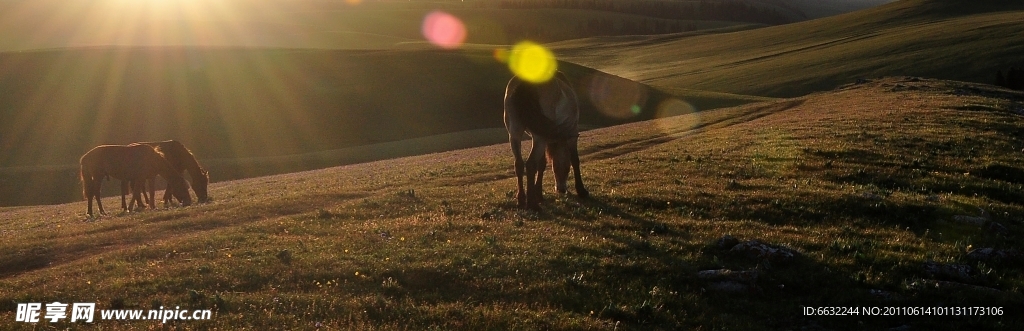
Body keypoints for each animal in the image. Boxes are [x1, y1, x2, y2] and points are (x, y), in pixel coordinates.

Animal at [505, 71, 589, 210]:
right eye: (566, 168)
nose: (561, 189)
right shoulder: (572, 135)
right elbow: (575, 160)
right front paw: (581, 190)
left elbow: (542, 164)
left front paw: (539, 194)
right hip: (539, 137)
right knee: (530, 164)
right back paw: (532, 204)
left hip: (515, 133)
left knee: (519, 164)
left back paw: (522, 199)